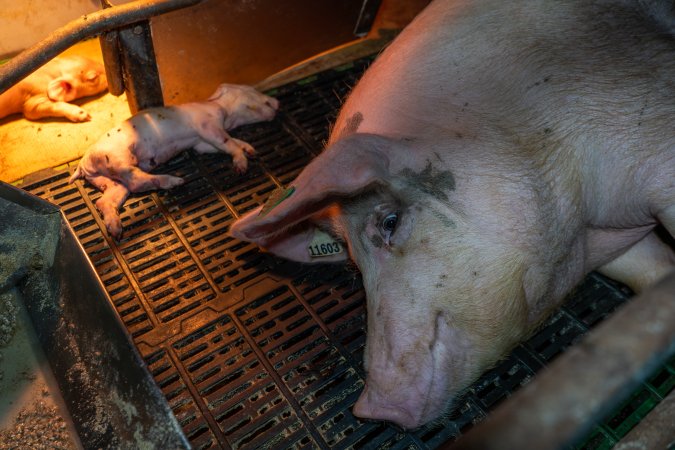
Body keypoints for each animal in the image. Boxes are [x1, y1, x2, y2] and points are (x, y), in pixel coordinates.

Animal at [69, 84, 280, 239]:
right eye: (251, 90)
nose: (277, 103)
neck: (223, 113)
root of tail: (83, 164)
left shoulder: (200, 144)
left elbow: (229, 143)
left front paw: (252, 151)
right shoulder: (207, 126)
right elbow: (227, 142)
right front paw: (241, 167)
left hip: (109, 181)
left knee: (105, 200)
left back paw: (116, 231)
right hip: (118, 159)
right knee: (136, 180)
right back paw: (176, 181)